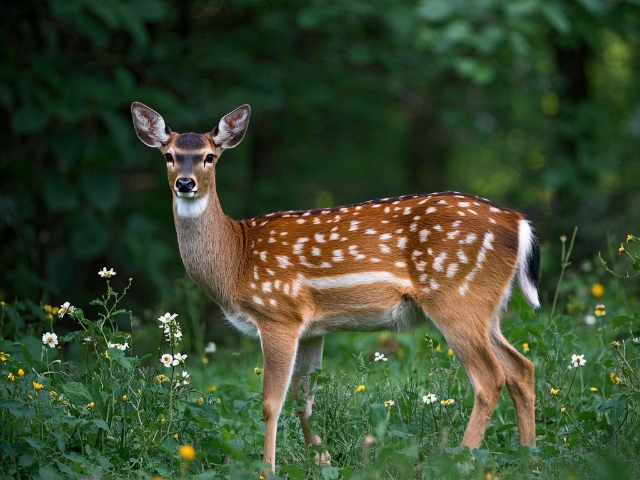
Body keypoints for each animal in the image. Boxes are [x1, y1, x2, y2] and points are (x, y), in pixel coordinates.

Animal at [132, 101, 544, 472]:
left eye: (209, 157)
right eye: (168, 156)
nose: (185, 183)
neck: (236, 261)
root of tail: (519, 223)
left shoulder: (277, 313)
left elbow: (270, 402)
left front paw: (268, 468)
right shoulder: (313, 328)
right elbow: (304, 399)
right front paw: (323, 460)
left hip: (456, 297)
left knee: (490, 378)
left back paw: (458, 460)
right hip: (486, 309)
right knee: (521, 368)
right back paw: (529, 459)